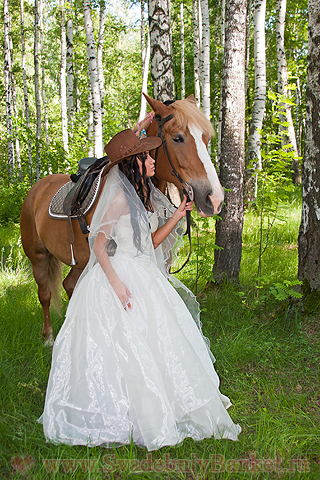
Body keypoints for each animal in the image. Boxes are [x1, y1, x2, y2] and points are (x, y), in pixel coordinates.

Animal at [20, 94, 225, 344]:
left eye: (206, 138)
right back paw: (49, 336)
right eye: (178, 137)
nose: (214, 198)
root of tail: (36, 188)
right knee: (45, 293)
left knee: (69, 285)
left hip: (81, 260)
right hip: (39, 257)